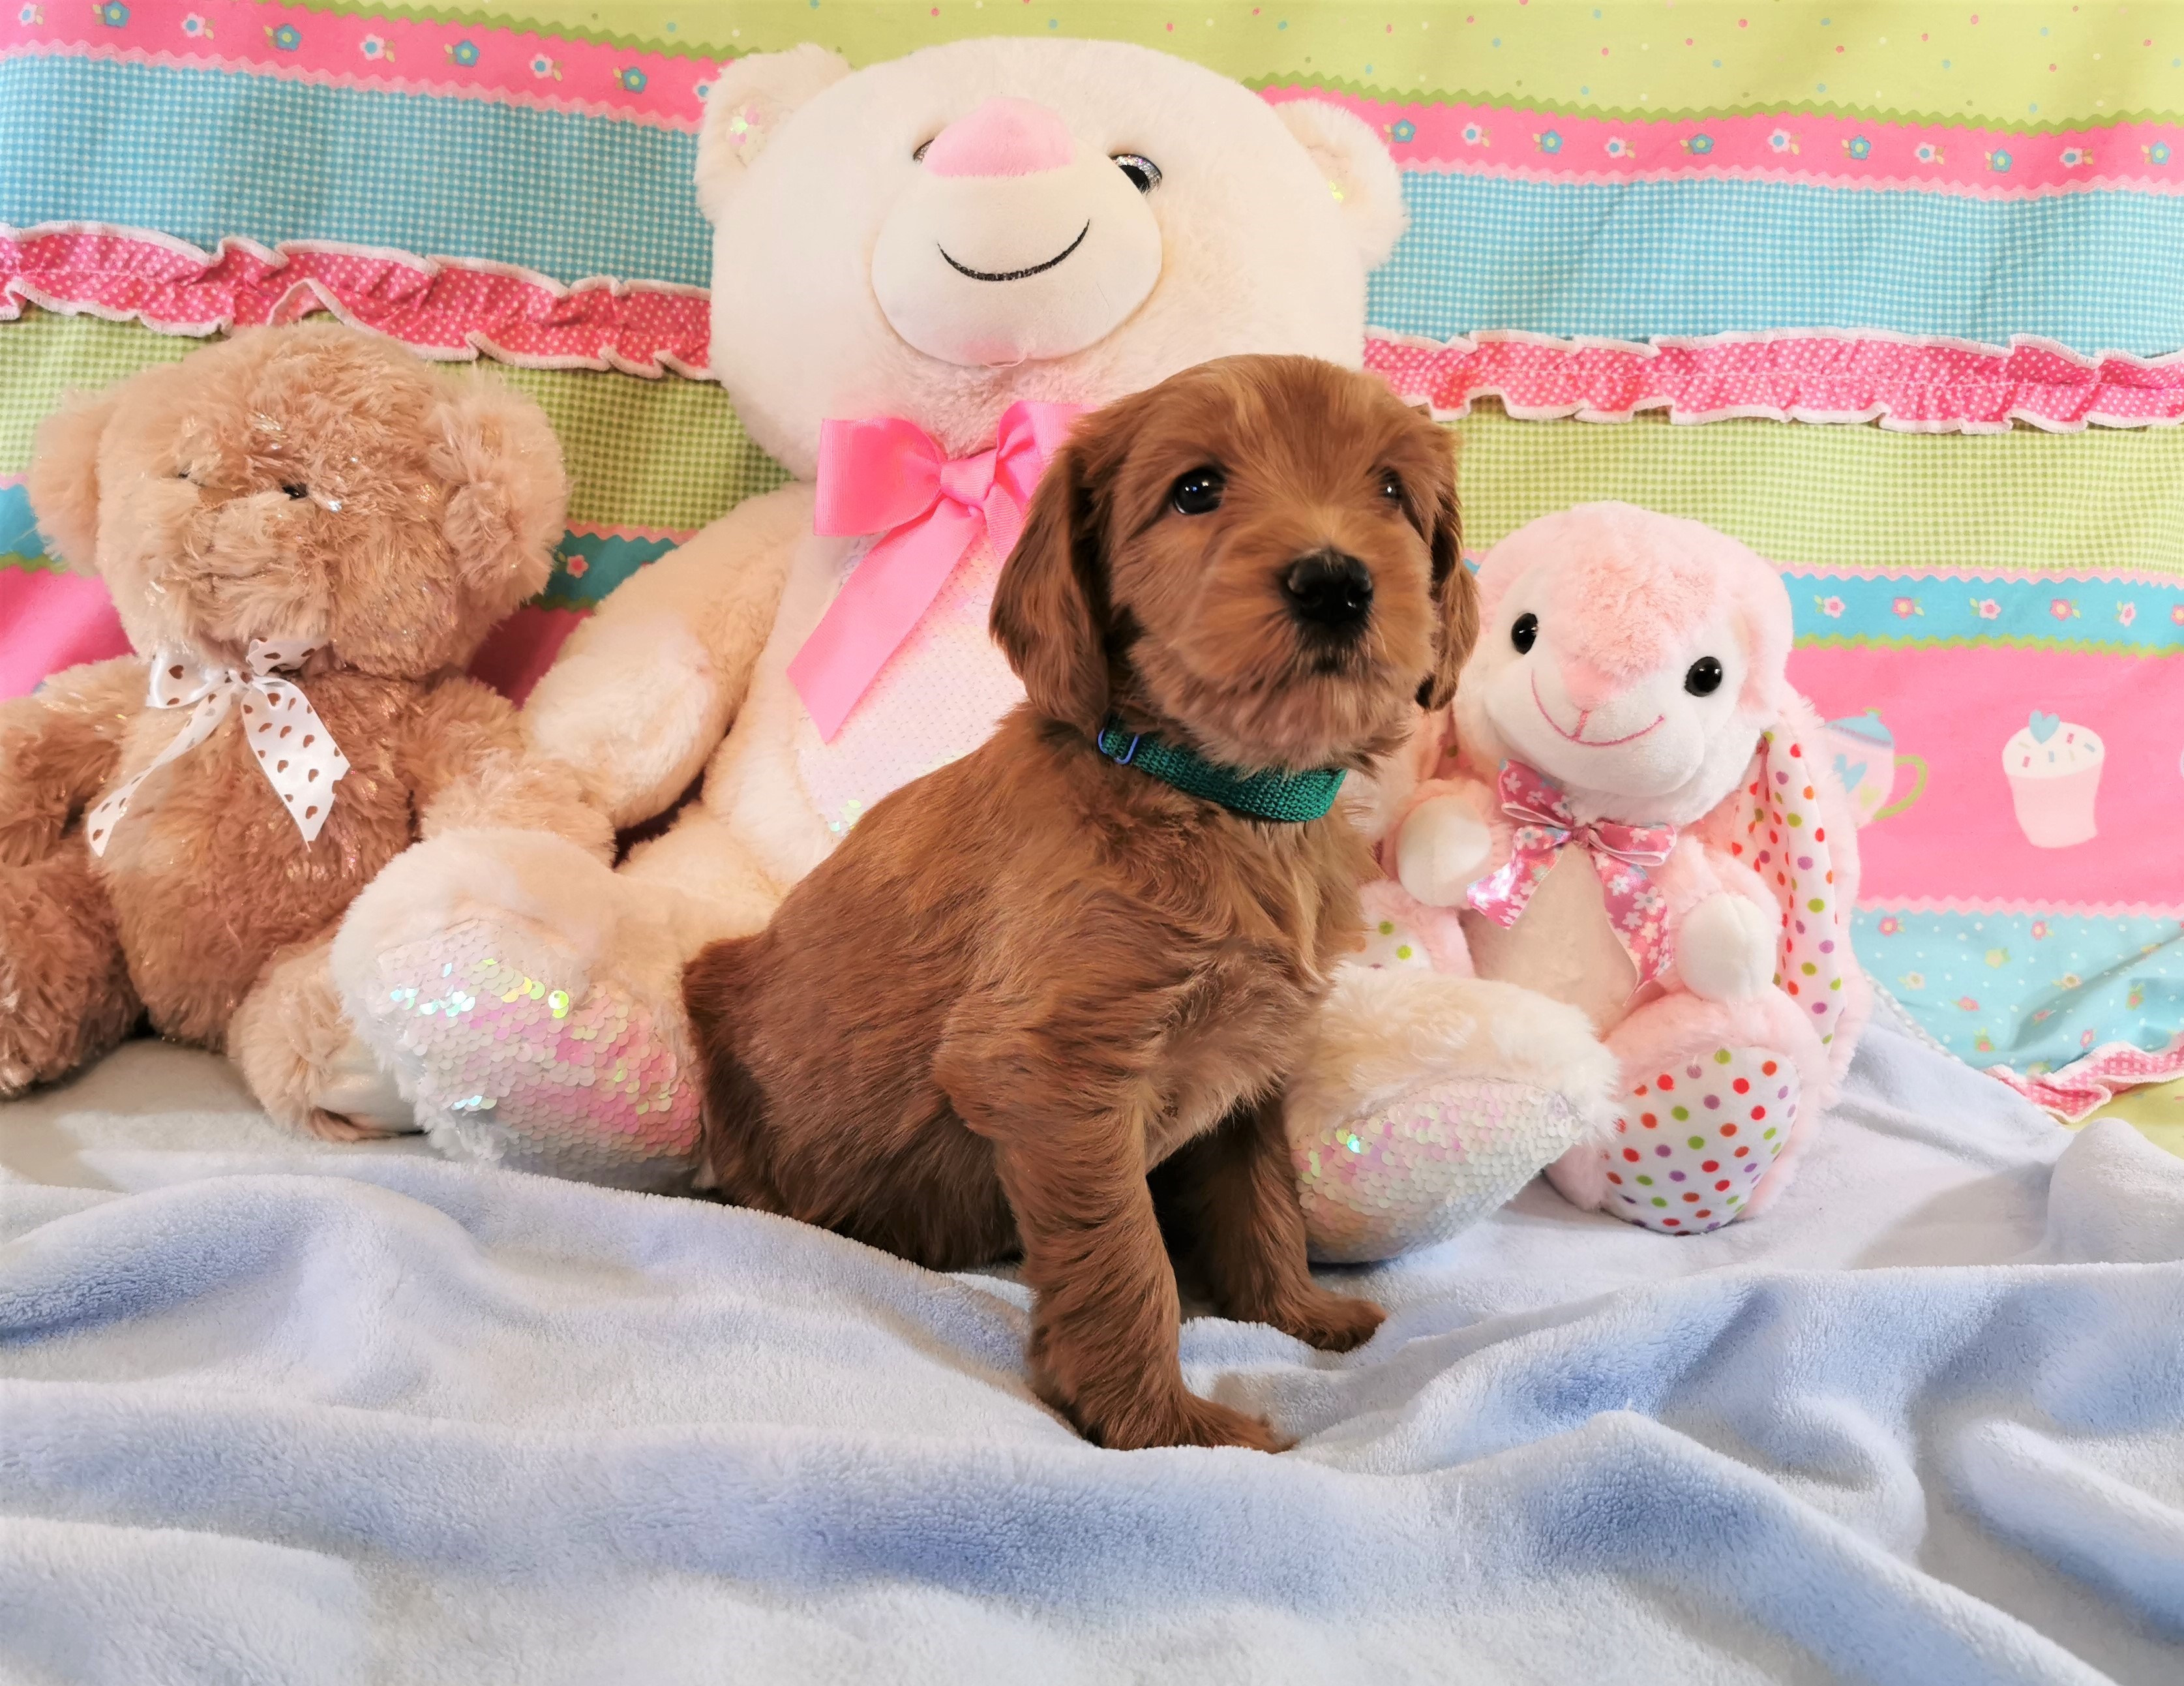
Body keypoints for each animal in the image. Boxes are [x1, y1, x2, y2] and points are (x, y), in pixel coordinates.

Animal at [684, 355, 1477, 1450]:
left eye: (1393, 492)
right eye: (1196, 488)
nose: (1336, 582)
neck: (1222, 797)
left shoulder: (1254, 1067)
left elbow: (1262, 1198)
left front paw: (1293, 1312)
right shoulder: (1052, 1071)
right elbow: (1123, 1260)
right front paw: (1163, 1424)